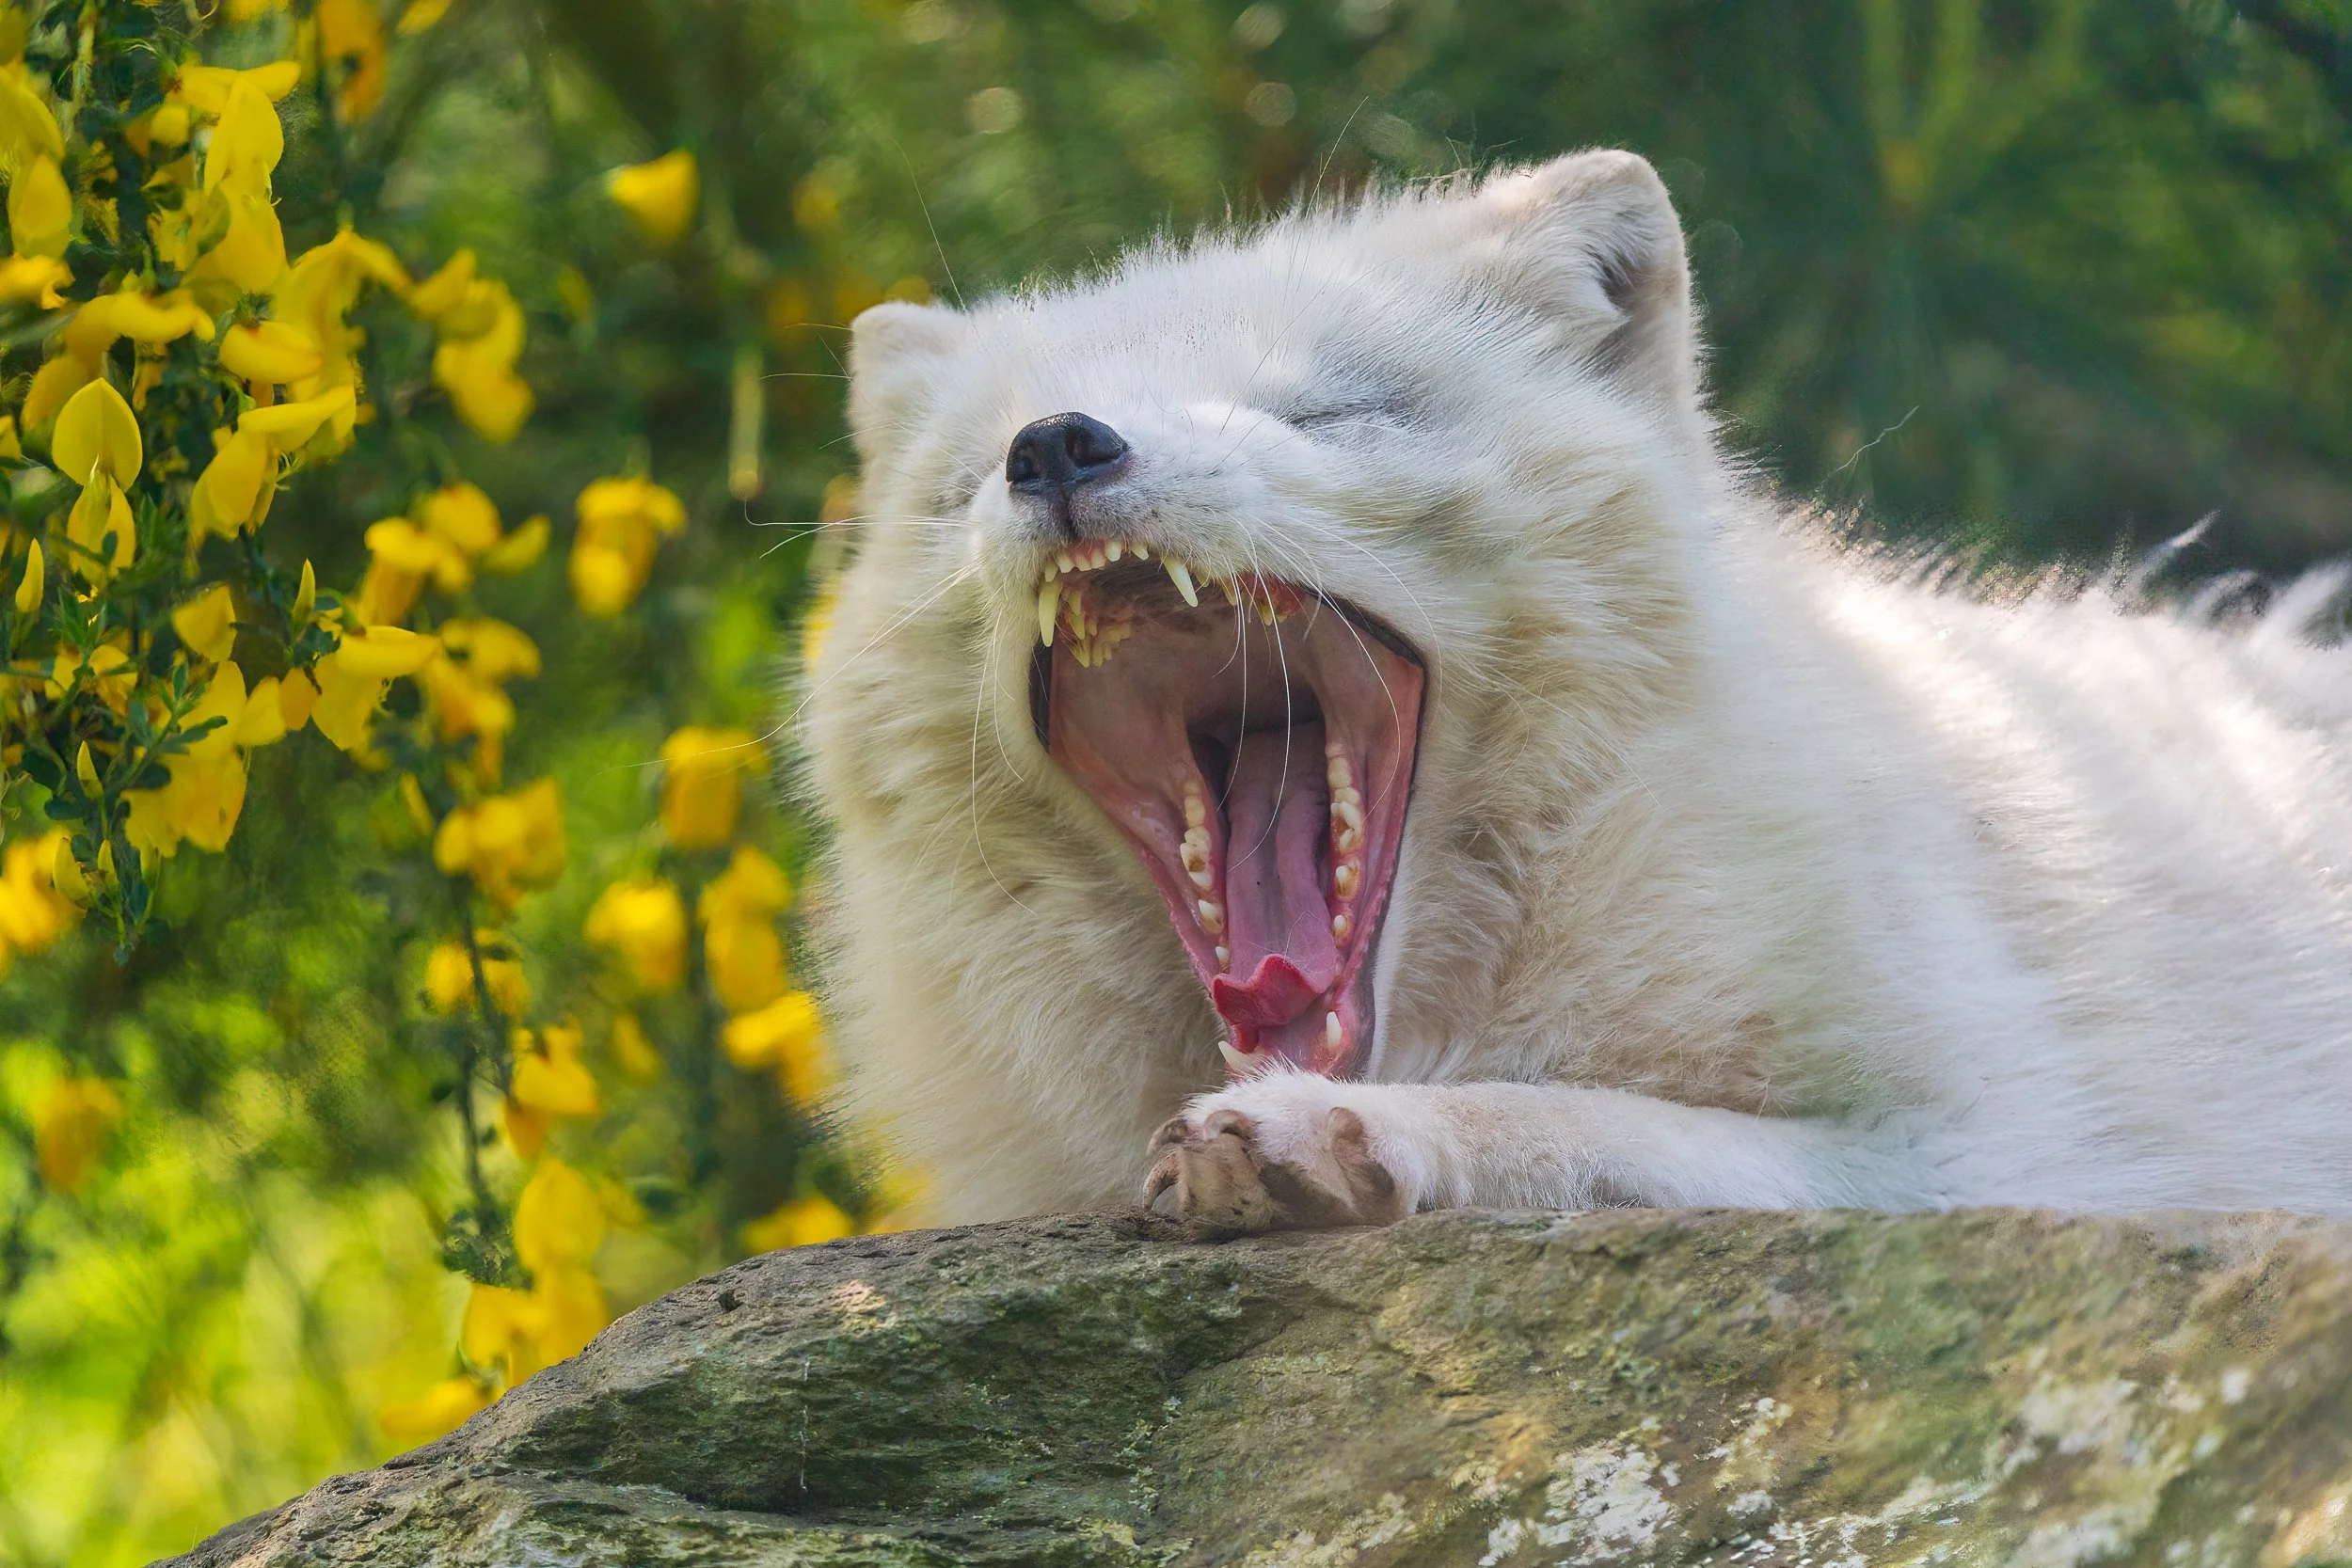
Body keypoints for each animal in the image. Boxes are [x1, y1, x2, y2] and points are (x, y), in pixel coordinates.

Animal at [800, 150, 2352, 1233]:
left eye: (1329, 412)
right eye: (966, 477)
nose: (1057, 446)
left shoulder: (2010, 1145)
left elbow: (1586, 1117)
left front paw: (1344, 1131)